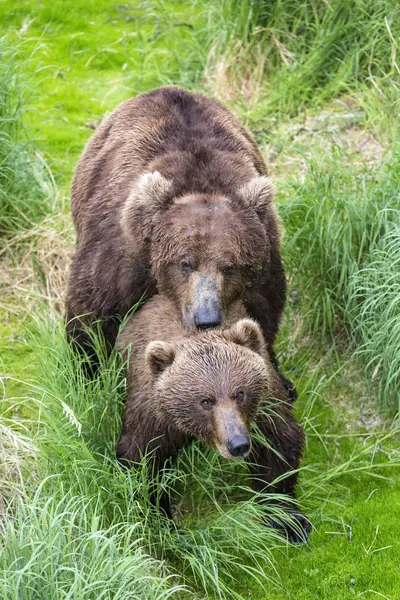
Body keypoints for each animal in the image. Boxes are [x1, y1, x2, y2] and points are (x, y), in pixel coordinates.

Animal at [65, 88, 290, 390]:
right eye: (185, 263)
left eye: (229, 267)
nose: (206, 319)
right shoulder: (122, 257)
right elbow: (90, 315)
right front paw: (88, 377)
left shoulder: (264, 262)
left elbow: (263, 315)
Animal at [115, 296, 310, 544]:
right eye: (205, 401)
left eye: (240, 393)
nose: (238, 444)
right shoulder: (152, 417)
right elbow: (142, 461)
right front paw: (163, 523)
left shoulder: (265, 406)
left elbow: (277, 448)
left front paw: (289, 521)